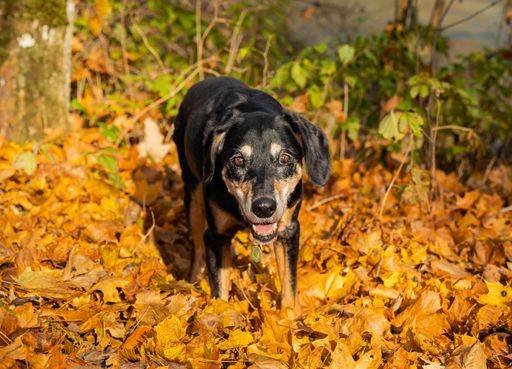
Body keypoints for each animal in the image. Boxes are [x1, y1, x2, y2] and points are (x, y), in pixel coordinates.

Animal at [173, 76, 332, 312]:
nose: (264, 208)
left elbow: (289, 285)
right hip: (191, 191)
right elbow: (220, 290)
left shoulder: (288, 231)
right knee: (197, 245)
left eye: (285, 158)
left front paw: (291, 316)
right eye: (238, 160)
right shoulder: (216, 236)